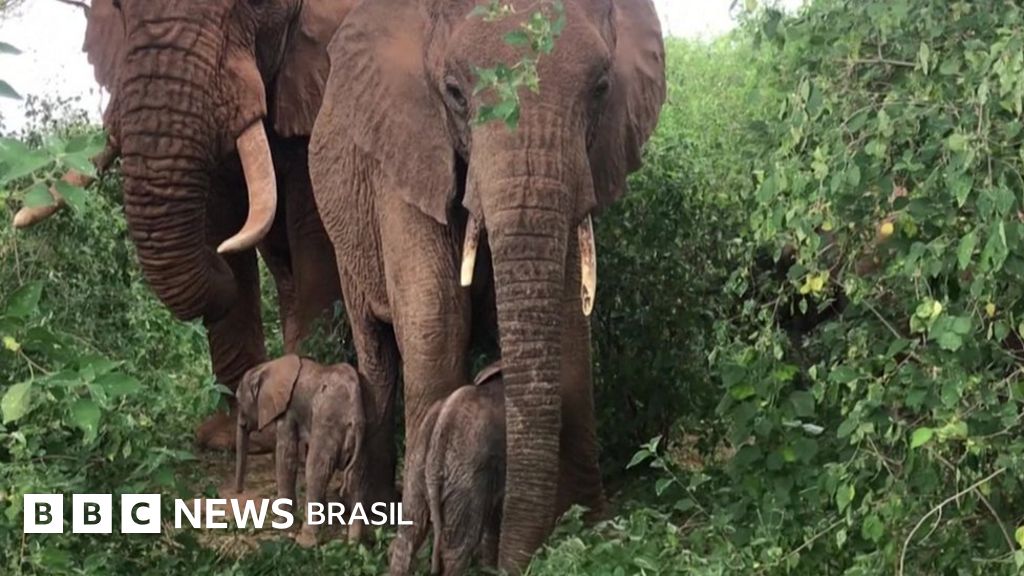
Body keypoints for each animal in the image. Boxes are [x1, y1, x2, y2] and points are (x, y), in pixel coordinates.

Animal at [14, 0, 357, 451]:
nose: (218, 260)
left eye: (257, 4)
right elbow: (219, 213)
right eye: (118, 7)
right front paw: (234, 436)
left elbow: (313, 226)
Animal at [235, 354, 365, 547]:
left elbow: (286, 455)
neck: (267, 366)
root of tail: (354, 413)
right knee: (356, 476)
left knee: (316, 471)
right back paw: (355, 544)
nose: (239, 492)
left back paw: (305, 541)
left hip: (328, 421)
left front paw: (282, 527)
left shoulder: (288, 410)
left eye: (238, 399)